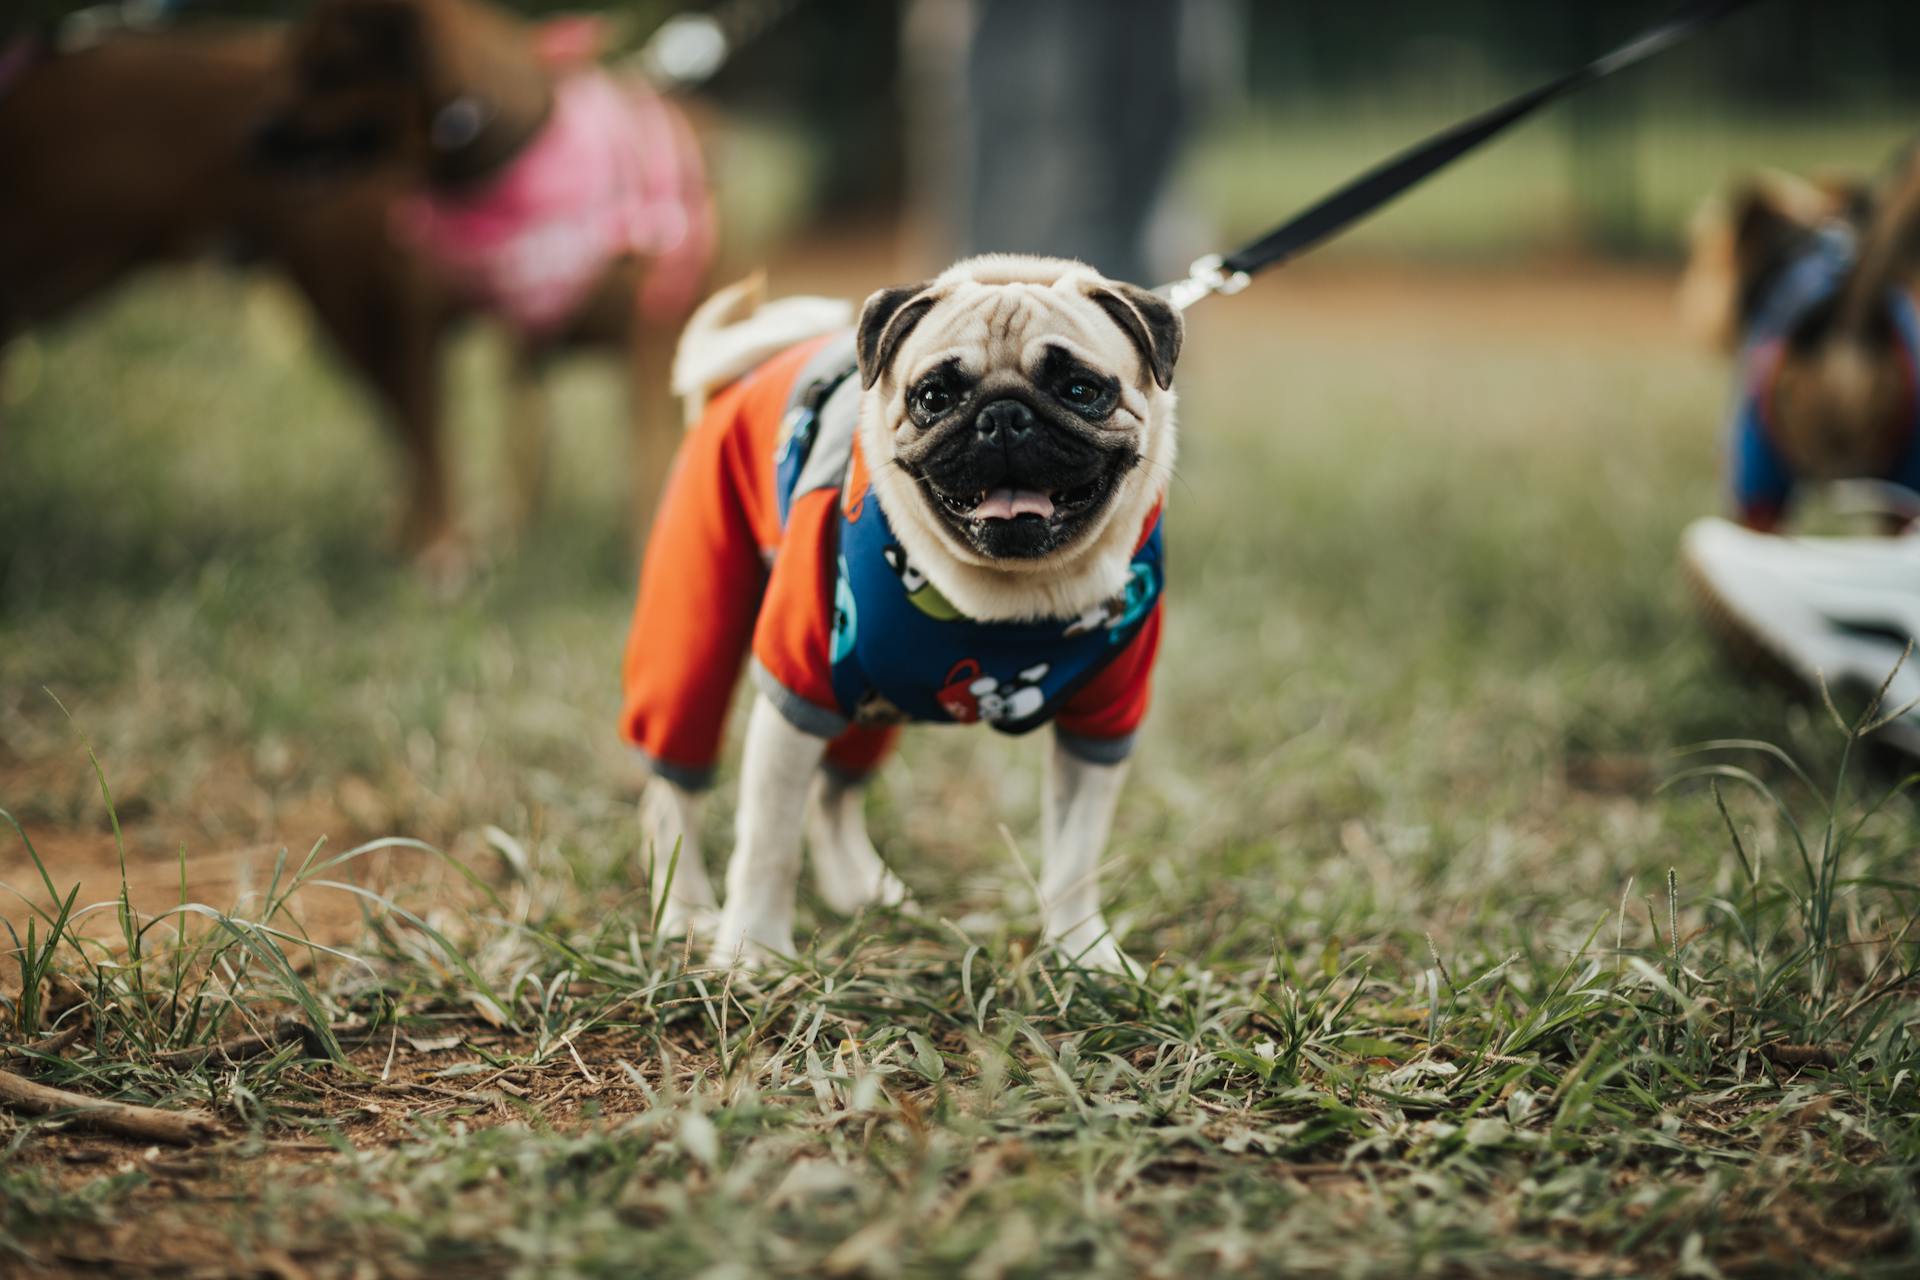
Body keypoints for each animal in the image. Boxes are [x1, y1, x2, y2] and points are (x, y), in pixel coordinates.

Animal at [622, 255, 1175, 971]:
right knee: (675, 793)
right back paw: (686, 909)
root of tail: (733, 381)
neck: (1007, 599)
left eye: (1081, 390)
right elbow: (769, 844)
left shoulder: (1102, 723)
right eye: (933, 398)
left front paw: (1084, 954)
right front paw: (754, 953)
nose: (1004, 415)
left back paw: (861, 890)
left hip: (875, 701)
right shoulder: (798, 694)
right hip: (693, 629)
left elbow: (1076, 861)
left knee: (835, 793)